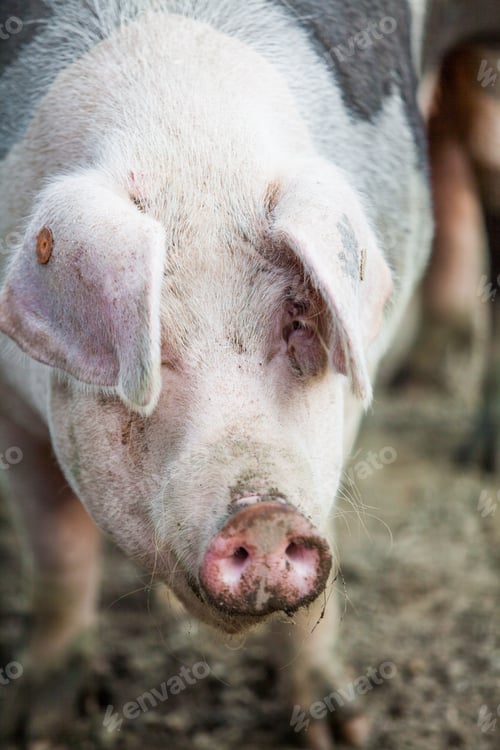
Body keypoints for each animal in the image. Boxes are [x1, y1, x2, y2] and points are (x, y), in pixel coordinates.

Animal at [0, 1, 496, 747]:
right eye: (153, 348)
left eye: (299, 324)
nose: (261, 513)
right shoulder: (12, 400)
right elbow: (55, 549)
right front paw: (39, 729)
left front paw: (340, 732)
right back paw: (427, 373)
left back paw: (475, 447)